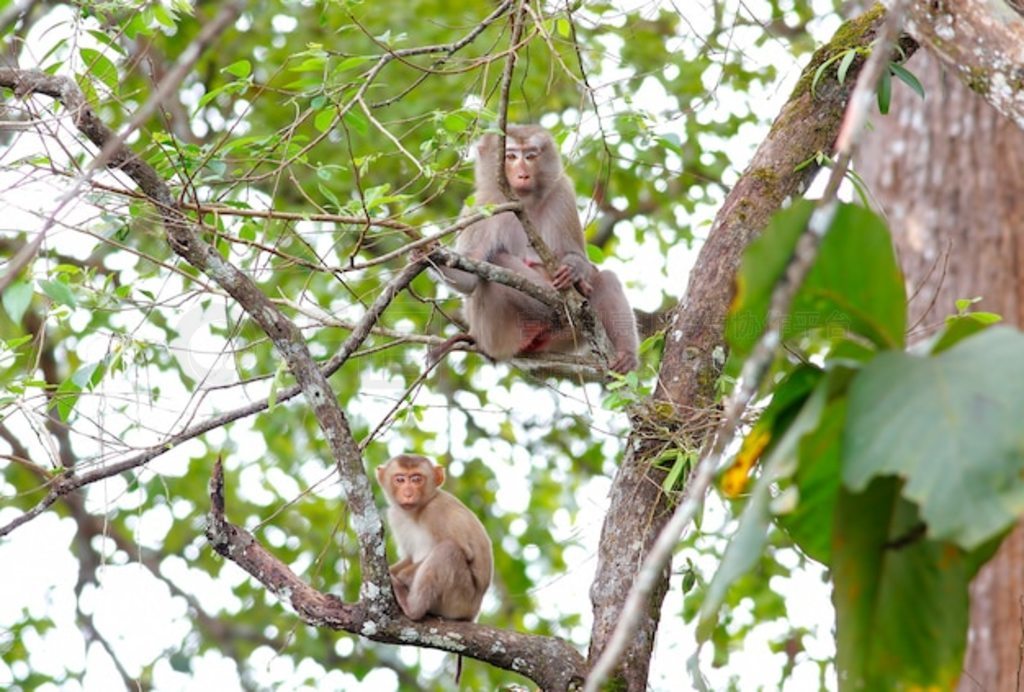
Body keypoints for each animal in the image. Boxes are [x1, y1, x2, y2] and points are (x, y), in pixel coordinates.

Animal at [434, 124, 638, 372]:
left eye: (530, 156)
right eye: (511, 156)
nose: (523, 173)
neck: (523, 201)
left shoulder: (562, 192)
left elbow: (578, 254)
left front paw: (574, 269)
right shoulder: (480, 207)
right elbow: (469, 278)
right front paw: (426, 254)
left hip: (561, 338)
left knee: (605, 279)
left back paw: (624, 354)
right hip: (500, 335)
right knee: (496, 260)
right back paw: (550, 302)